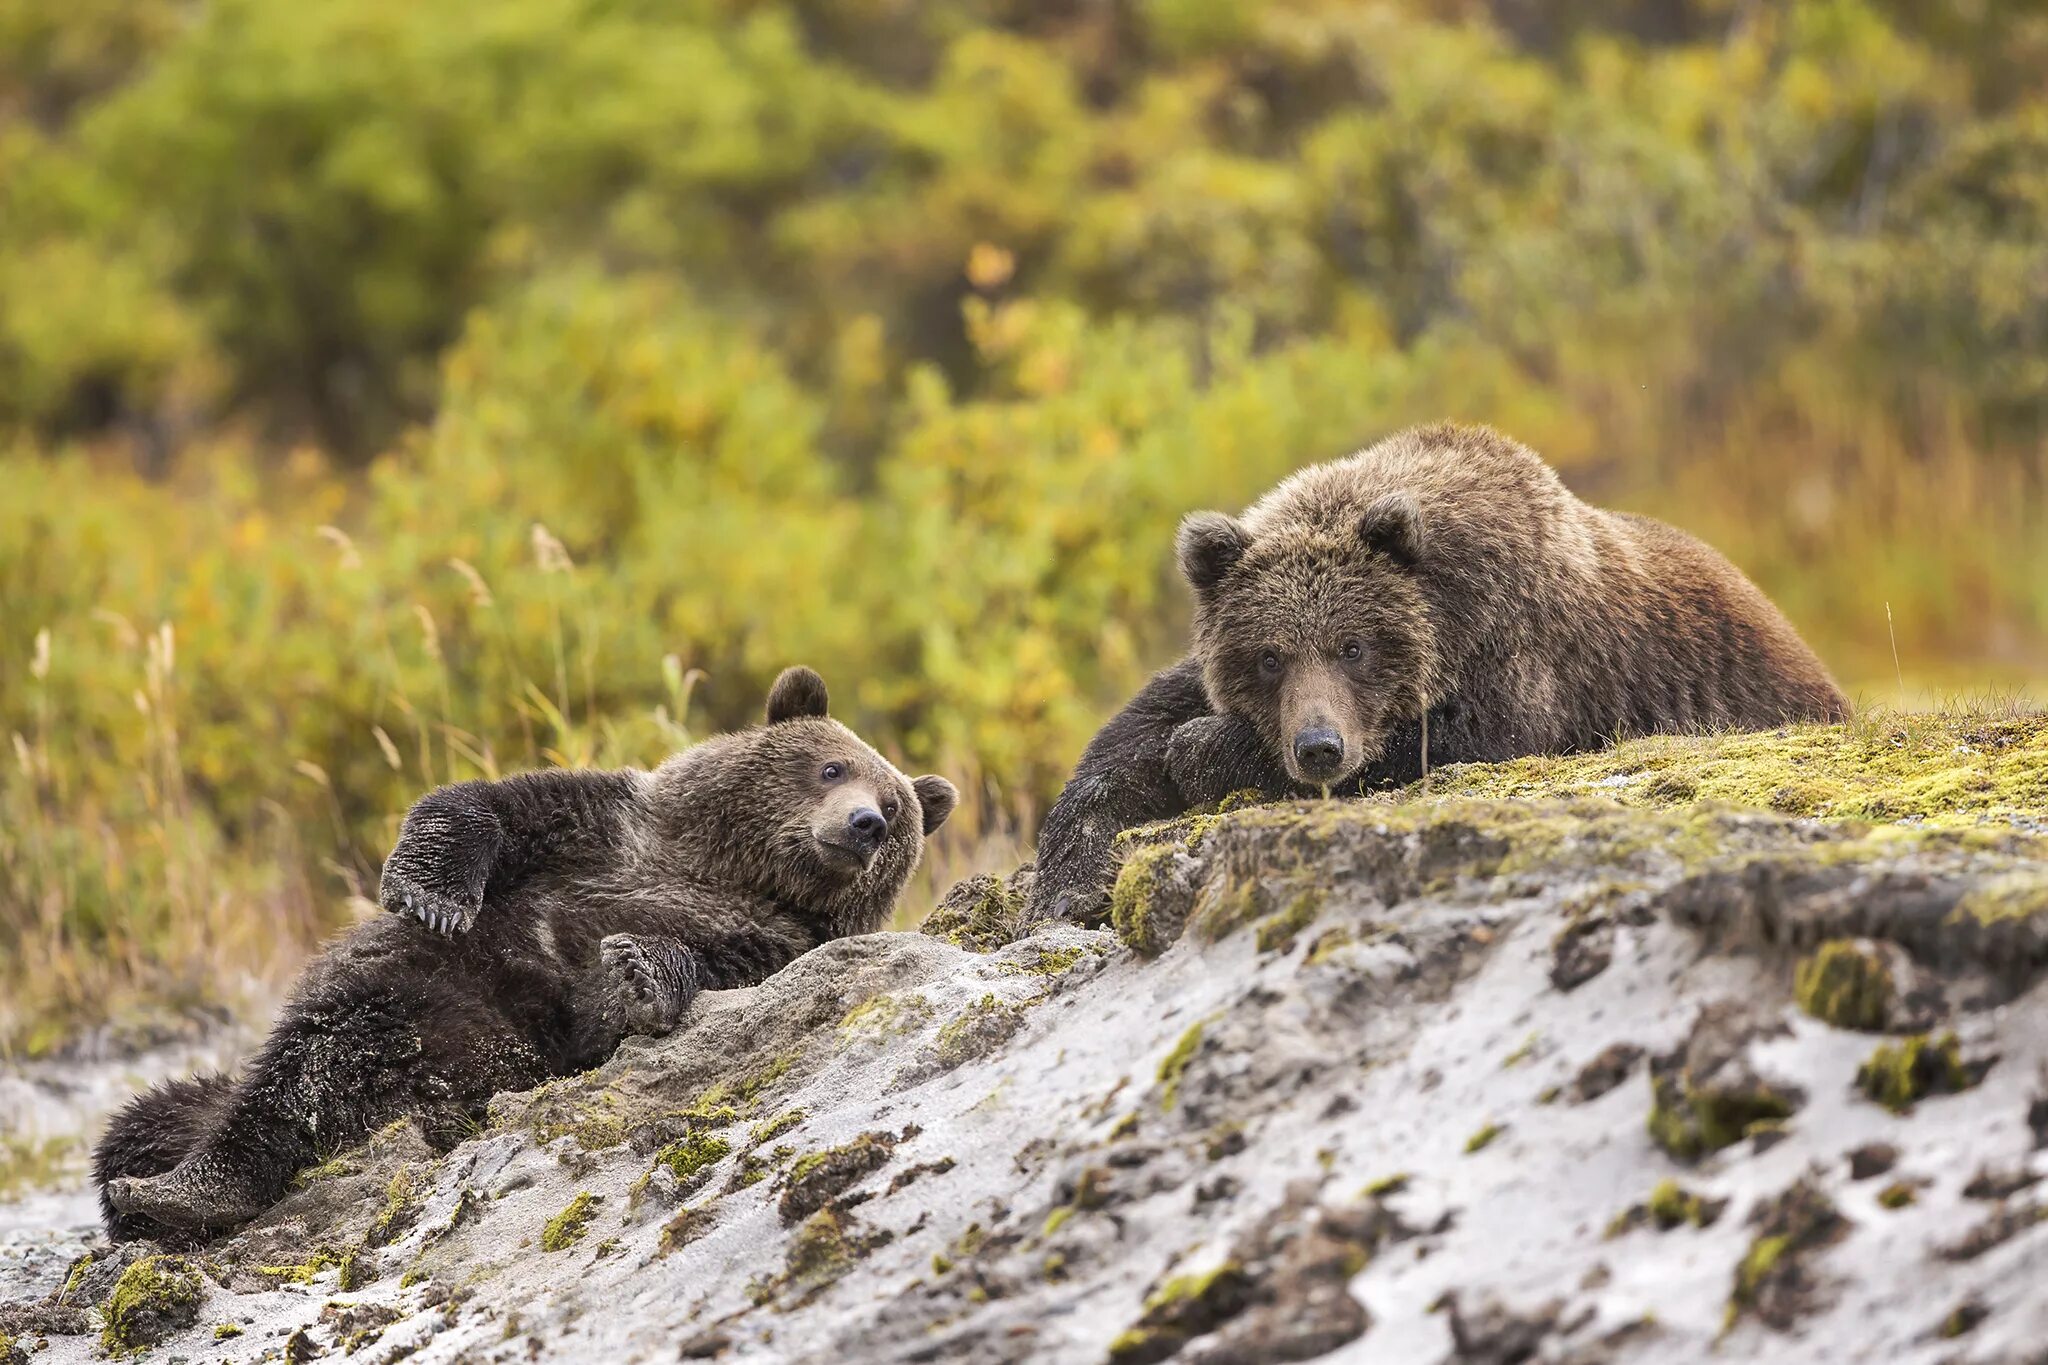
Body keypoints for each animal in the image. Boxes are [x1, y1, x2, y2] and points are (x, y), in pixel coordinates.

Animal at [96, 667, 958, 1244]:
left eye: (895, 810)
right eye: (831, 765)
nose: (862, 824)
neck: (724, 870)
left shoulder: (761, 939)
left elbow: (667, 976)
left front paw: (637, 972)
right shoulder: (609, 831)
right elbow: (490, 806)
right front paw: (431, 890)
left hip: (492, 1046)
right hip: (409, 986)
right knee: (290, 1067)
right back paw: (169, 1187)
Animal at [1032, 423, 1851, 916]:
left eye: (1353, 645)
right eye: (1268, 655)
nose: (1318, 746)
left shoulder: (1520, 662)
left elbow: (1444, 742)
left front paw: (1203, 750)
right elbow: (1132, 739)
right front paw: (1071, 879)